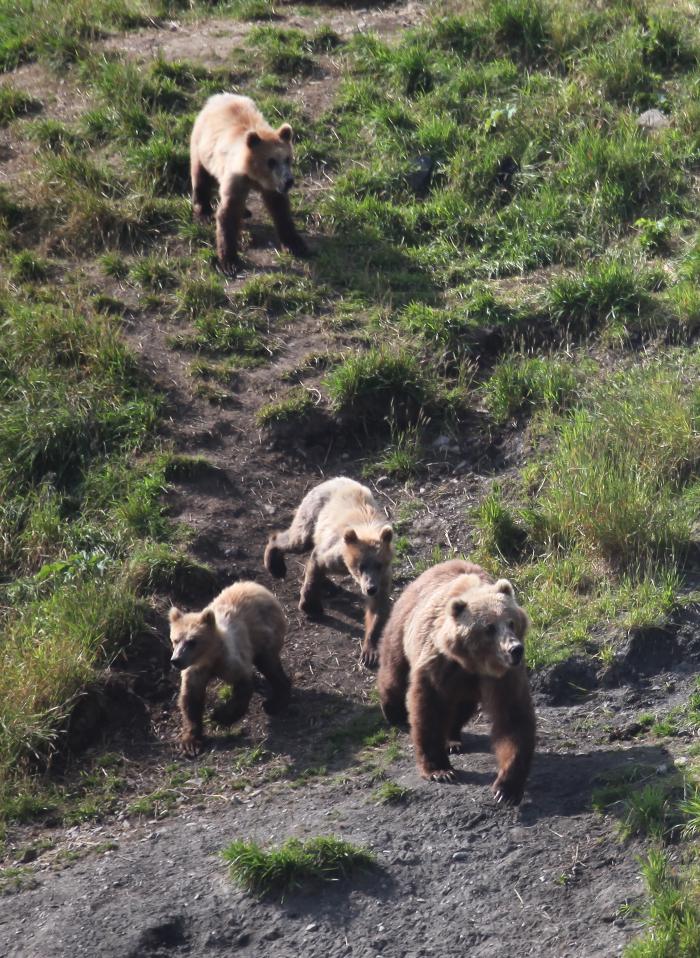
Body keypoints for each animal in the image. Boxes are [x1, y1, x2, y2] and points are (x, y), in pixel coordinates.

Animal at [169, 581, 290, 756]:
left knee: (270, 666)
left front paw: (219, 715)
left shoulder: (231, 661)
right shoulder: (195, 671)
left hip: (264, 635)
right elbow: (190, 700)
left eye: (192, 641)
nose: (176, 660)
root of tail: (258, 586)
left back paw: (275, 702)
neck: (210, 658)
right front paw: (190, 742)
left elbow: (243, 686)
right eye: (175, 639)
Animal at [189, 93, 308, 274]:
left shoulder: (272, 187)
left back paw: (245, 211)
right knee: (201, 176)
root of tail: (216, 97)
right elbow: (228, 213)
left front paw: (296, 245)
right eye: (271, 161)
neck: (255, 176)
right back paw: (204, 211)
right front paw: (229, 262)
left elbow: (280, 210)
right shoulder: (236, 179)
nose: (288, 181)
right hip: (201, 147)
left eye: (288, 158)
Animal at [264, 477, 393, 668]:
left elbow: (378, 608)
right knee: (297, 540)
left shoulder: (382, 577)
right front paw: (310, 606)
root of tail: (330, 480)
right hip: (312, 514)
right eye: (360, 566)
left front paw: (370, 651)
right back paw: (276, 565)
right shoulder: (333, 553)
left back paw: (330, 586)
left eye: (379, 565)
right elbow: (316, 566)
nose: (370, 588)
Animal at [377, 559, 535, 804]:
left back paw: (452, 740)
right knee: (395, 670)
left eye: (511, 622)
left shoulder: (504, 677)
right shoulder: (438, 664)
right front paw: (440, 770)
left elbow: (513, 717)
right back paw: (393, 712)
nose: (515, 649)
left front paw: (506, 788)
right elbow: (428, 709)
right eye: (489, 627)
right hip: (403, 626)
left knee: (461, 706)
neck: (473, 662)